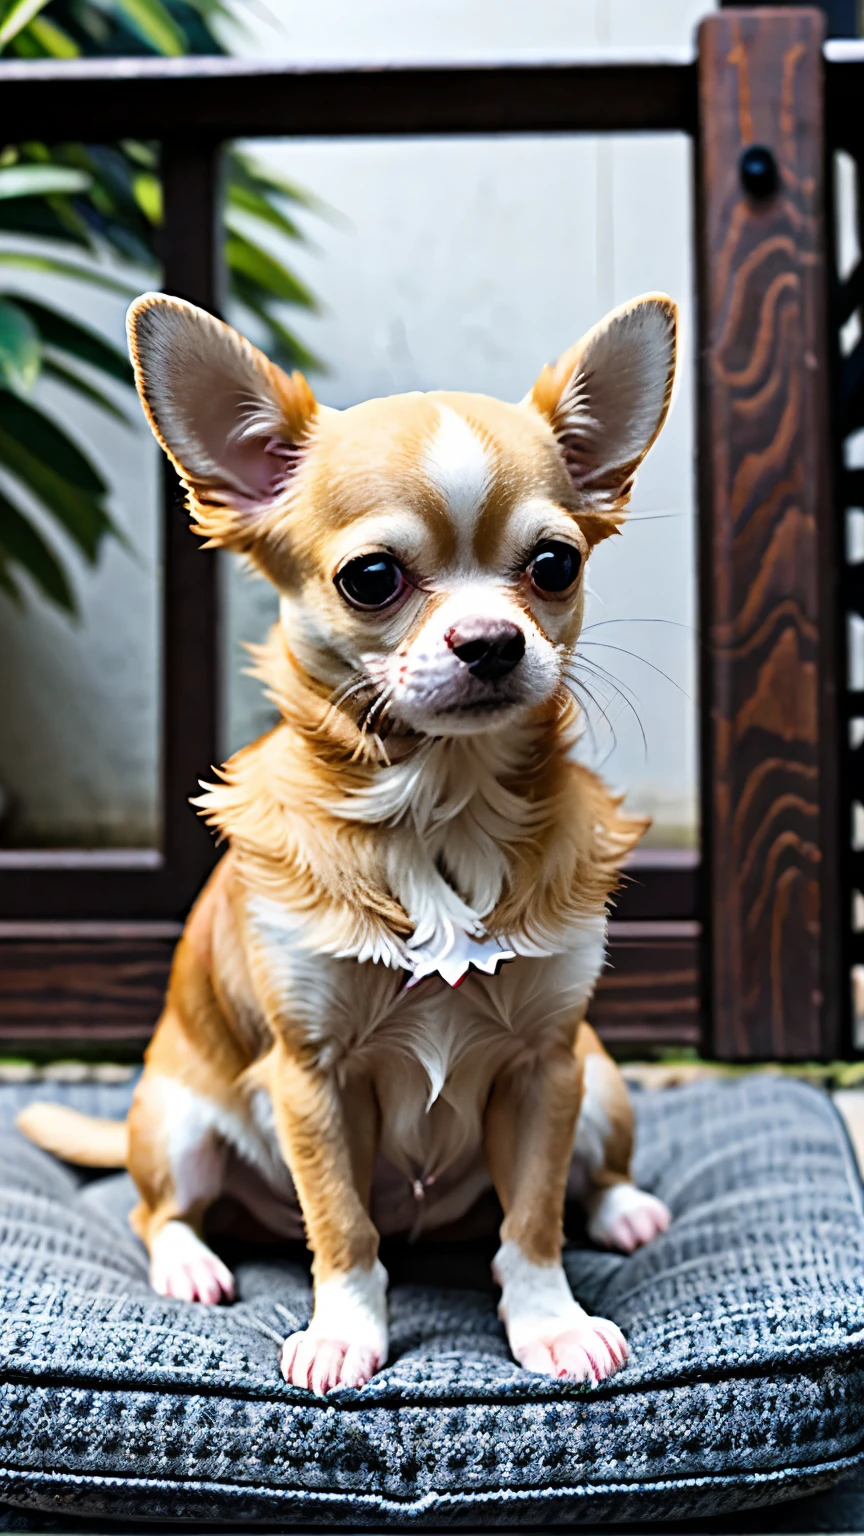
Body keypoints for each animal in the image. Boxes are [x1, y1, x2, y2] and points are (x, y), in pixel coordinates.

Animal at [16, 288, 673, 1394]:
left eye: (554, 565)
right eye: (371, 578)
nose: (493, 642)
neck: (443, 807)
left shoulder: (547, 1068)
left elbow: (533, 1220)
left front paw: (550, 1324)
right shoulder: (311, 1078)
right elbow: (346, 1227)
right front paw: (345, 1334)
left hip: (603, 1086)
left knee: (593, 1176)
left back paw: (627, 1210)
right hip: (177, 1122)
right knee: (161, 1211)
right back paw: (192, 1267)